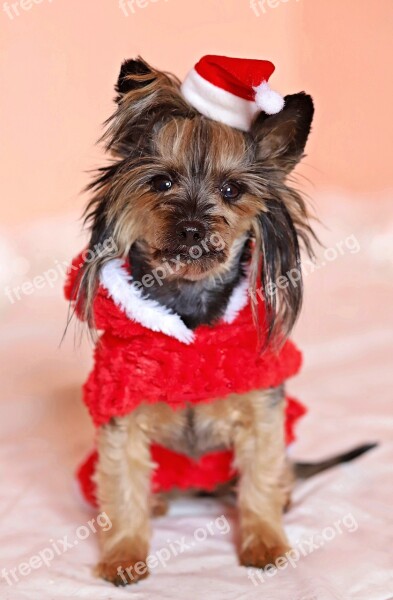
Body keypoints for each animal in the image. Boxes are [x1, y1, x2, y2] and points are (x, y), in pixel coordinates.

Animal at [65, 57, 374, 584]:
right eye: (161, 182)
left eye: (233, 190)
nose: (192, 225)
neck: (190, 305)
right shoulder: (121, 413)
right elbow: (122, 488)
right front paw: (124, 554)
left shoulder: (262, 411)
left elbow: (259, 481)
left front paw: (264, 542)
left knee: (273, 476)